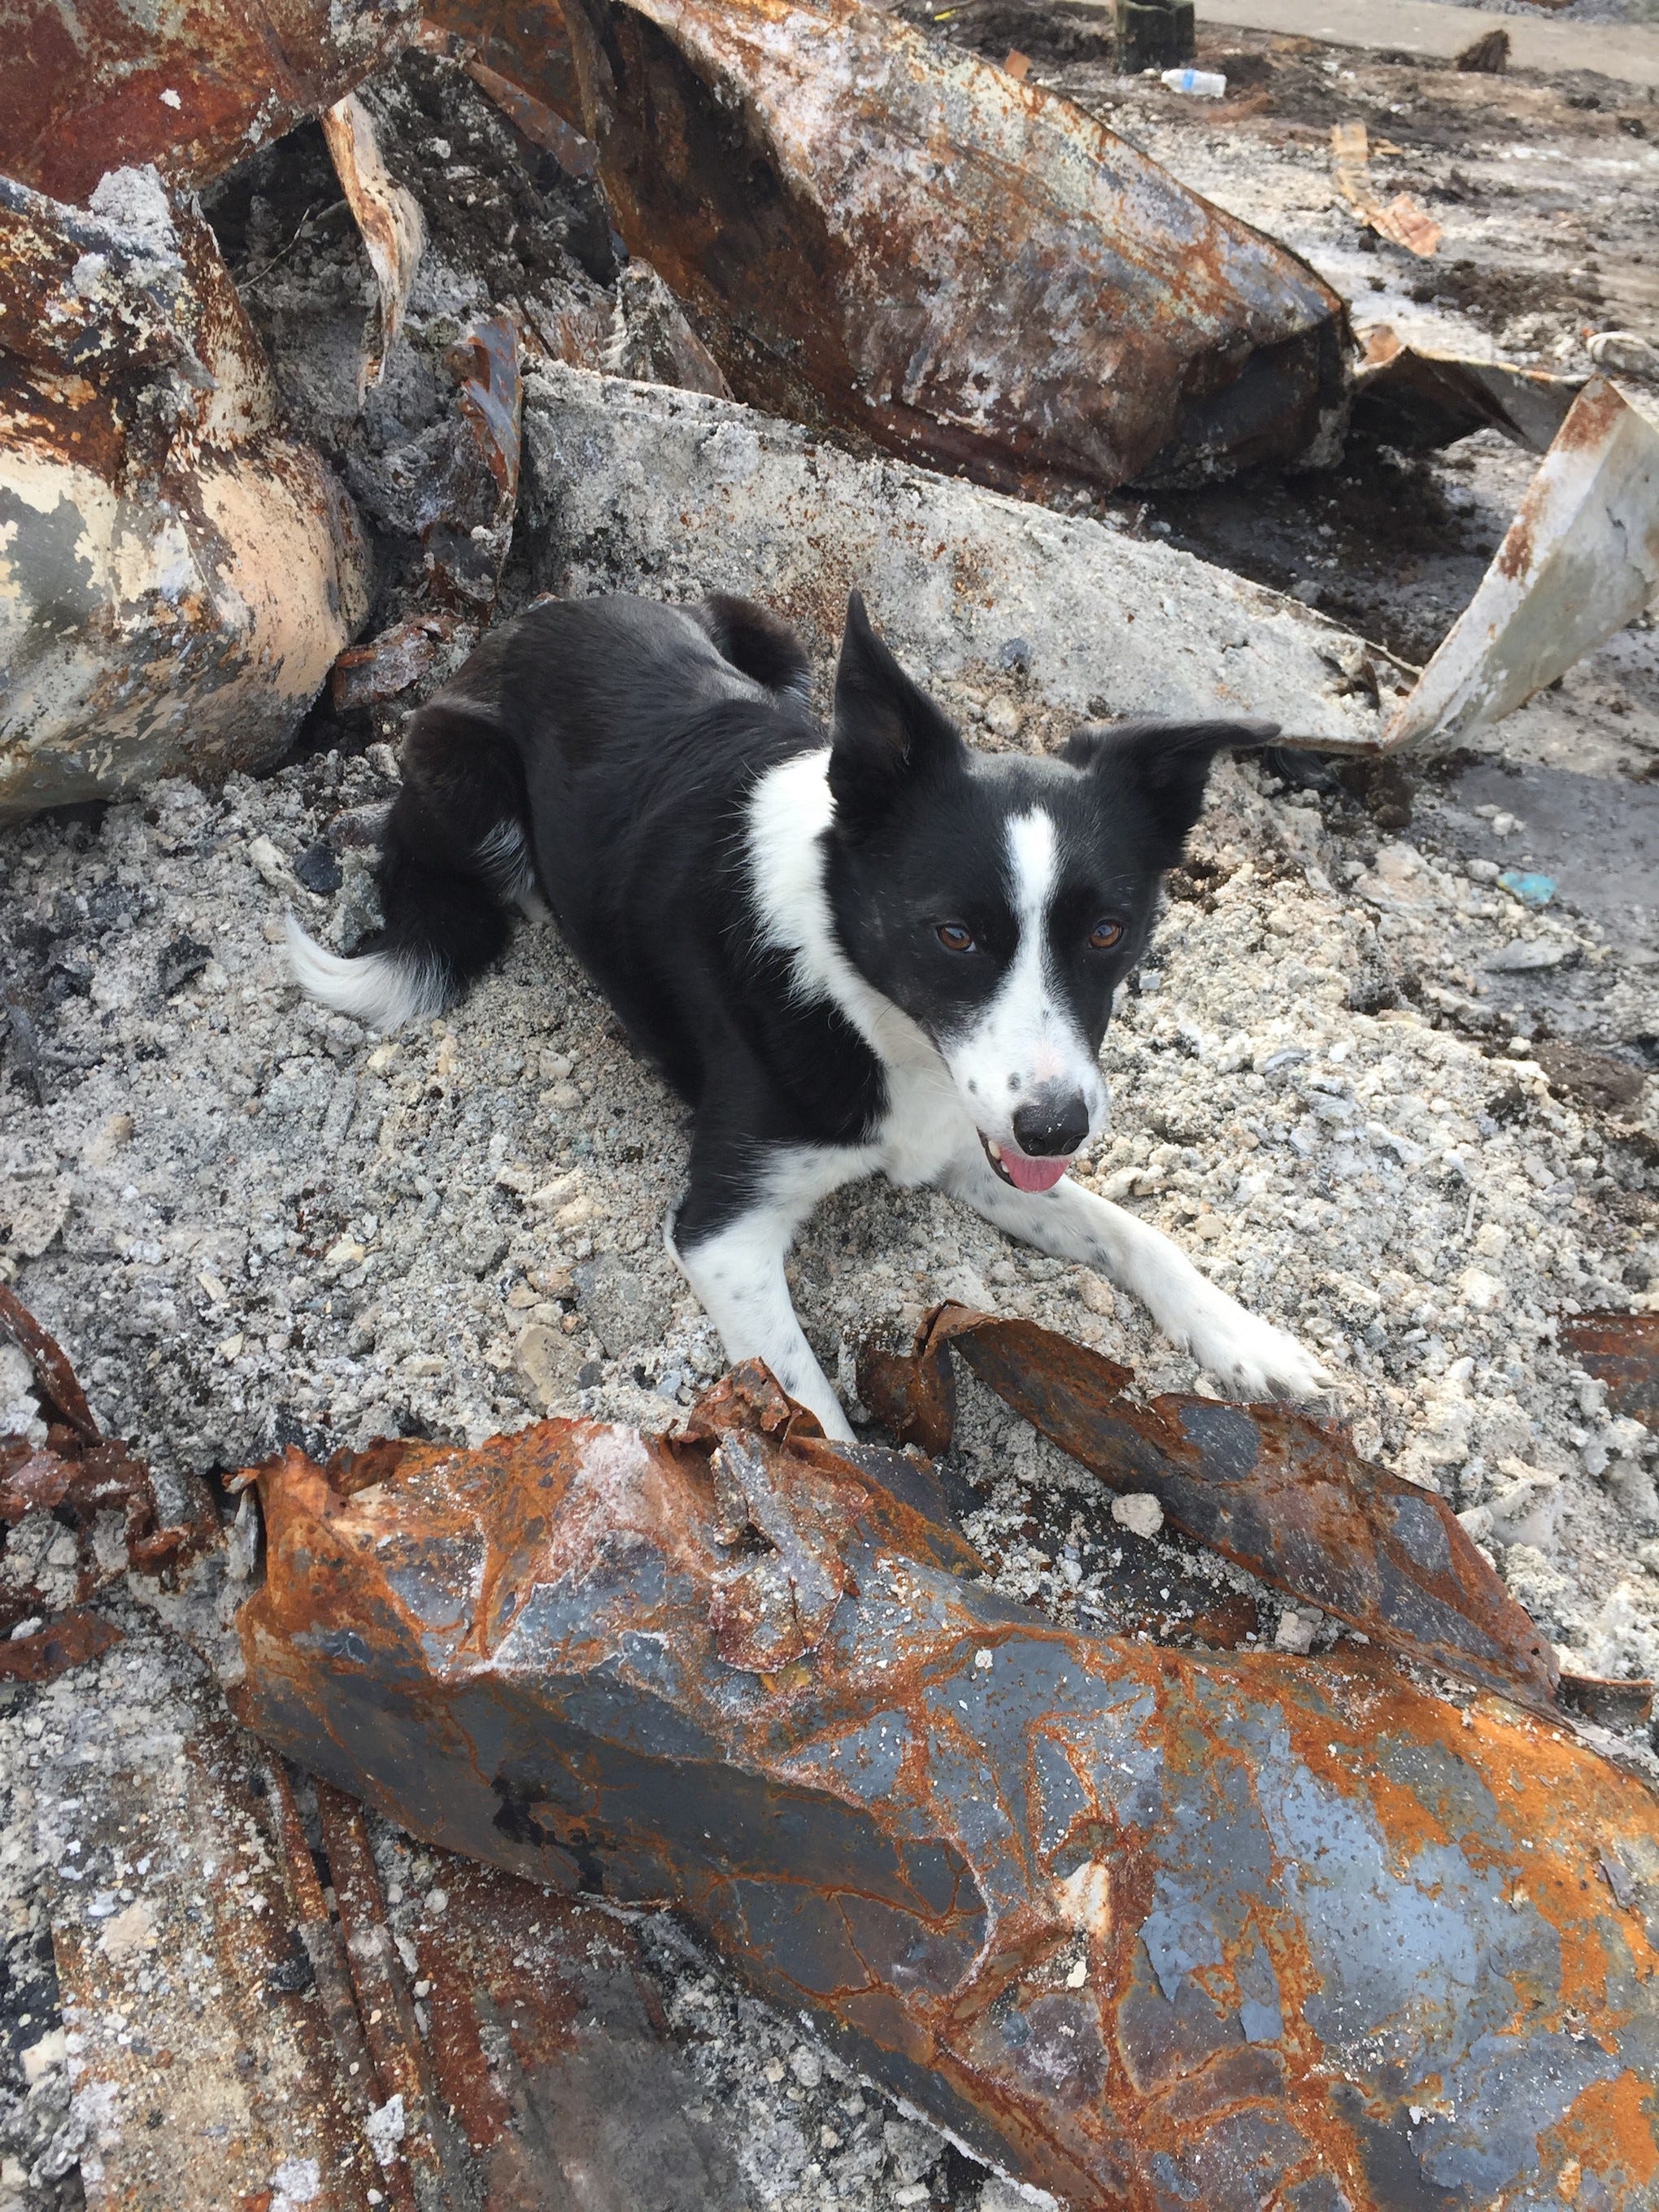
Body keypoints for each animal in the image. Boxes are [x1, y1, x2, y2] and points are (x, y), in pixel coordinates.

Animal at [290, 588, 1335, 1433]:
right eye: (954, 934)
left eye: (1110, 931)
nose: (1055, 1127)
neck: (859, 997)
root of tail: (533, 617)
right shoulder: (722, 1234)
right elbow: (816, 1419)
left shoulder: (969, 1141)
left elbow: (1131, 1229)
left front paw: (1246, 1337)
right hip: (469, 774)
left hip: (766, 637)